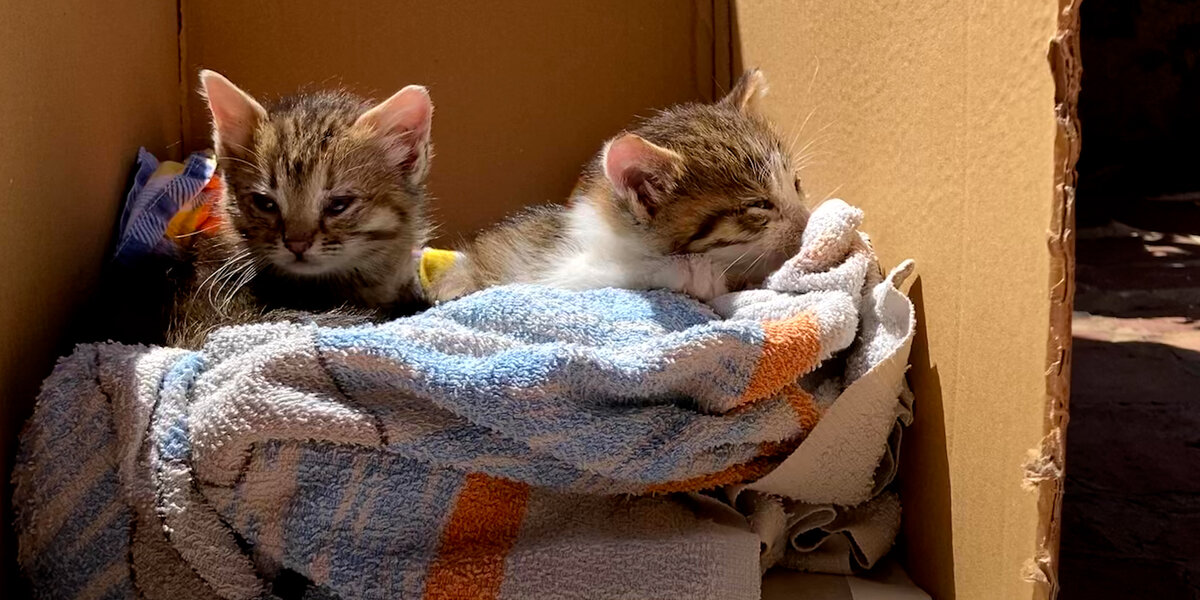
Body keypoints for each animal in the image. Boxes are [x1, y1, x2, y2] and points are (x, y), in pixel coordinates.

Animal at [427, 70, 811, 302]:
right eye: (758, 204)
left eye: (796, 183)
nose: (807, 224)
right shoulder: (544, 273)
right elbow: (606, 274)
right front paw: (693, 272)